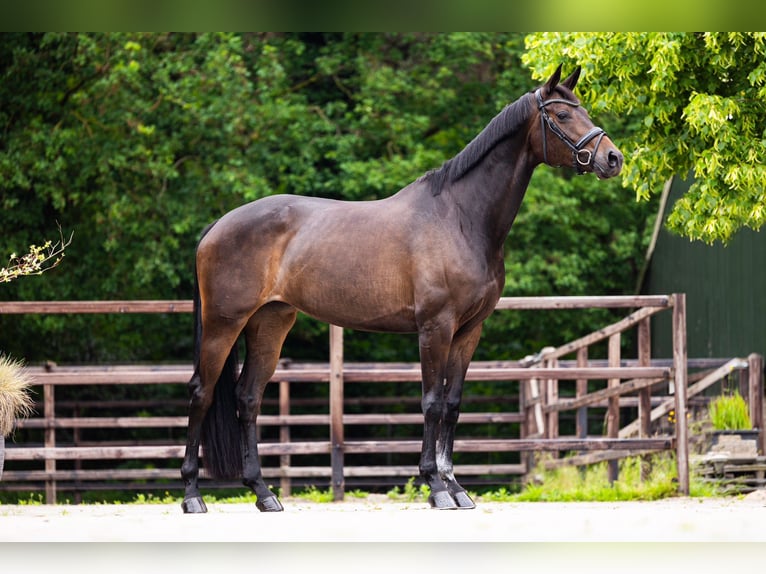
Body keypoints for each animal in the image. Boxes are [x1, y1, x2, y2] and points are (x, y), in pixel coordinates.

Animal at [180, 64, 623, 513]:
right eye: (563, 115)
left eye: (584, 109)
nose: (613, 158)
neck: (460, 217)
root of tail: (217, 226)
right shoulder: (435, 328)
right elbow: (431, 403)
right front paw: (436, 487)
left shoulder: (469, 331)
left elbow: (452, 405)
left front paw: (456, 487)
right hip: (223, 324)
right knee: (202, 392)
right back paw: (193, 495)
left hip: (269, 323)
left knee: (247, 398)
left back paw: (264, 494)